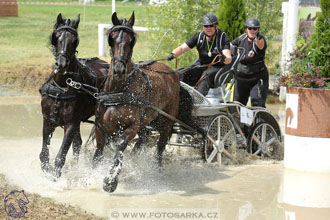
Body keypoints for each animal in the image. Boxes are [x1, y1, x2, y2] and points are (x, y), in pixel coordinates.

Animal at [39, 13, 108, 178]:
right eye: (56, 37)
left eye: (74, 40)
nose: (61, 64)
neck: (62, 87)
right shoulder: (48, 120)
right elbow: (44, 154)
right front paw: (46, 173)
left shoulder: (70, 124)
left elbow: (60, 156)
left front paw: (55, 178)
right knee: (78, 144)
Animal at [94, 11, 182, 192]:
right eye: (111, 38)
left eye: (131, 40)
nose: (119, 70)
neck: (118, 91)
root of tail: (171, 71)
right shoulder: (100, 127)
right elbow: (98, 151)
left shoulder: (131, 127)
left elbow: (120, 146)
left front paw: (111, 180)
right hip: (147, 121)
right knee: (142, 140)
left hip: (166, 120)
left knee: (161, 145)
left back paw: (157, 170)